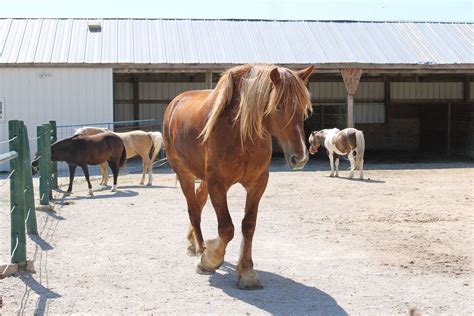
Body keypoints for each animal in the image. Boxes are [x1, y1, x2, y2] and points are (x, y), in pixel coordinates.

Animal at [163, 62, 314, 288]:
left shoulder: (257, 184)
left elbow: (248, 226)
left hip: (203, 178)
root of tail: (175, 103)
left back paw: (193, 243)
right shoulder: (218, 184)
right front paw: (210, 258)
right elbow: (227, 229)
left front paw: (247, 272)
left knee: (198, 202)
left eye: (303, 107)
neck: (240, 134)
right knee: (193, 209)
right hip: (184, 174)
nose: (300, 157)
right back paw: (199, 251)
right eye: (278, 106)